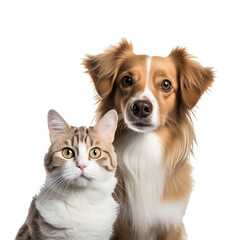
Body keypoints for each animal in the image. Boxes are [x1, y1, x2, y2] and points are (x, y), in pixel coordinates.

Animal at [84, 39, 214, 240]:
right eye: (127, 80)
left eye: (166, 84)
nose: (141, 107)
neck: (142, 149)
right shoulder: (119, 225)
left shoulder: (171, 223)